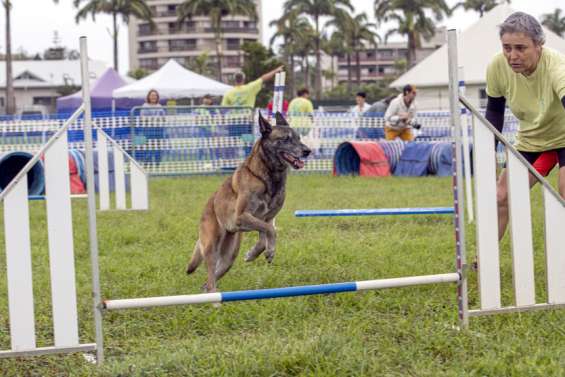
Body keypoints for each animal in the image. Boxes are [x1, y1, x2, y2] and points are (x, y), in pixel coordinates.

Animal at [186, 110, 310, 292]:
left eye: (299, 138)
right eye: (286, 139)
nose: (308, 151)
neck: (268, 176)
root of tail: (208, 206)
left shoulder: (267, 218)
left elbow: (265, 235)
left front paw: (254, 254)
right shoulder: (243, 217)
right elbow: (270, 231)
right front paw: (270, 251)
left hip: (228, 258)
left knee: (208, 282)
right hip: (211, 248)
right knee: (210, 275)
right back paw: (214, 295)